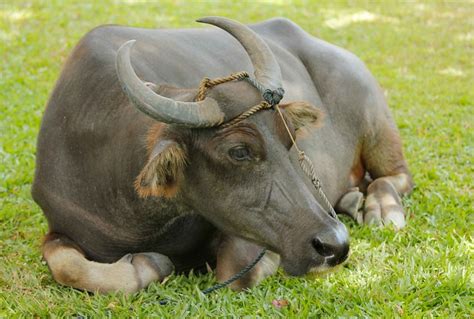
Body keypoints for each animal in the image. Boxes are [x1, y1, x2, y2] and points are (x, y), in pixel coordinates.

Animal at [32, 16, 412, 294]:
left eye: (289, 138)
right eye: (239, 151)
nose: (335, 245)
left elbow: (235, 273)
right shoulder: (60, 224)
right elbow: (67, 266)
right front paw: (149, 264)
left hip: (376, 119)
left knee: (396, 176)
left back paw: (383, 210)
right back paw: (352, 200)